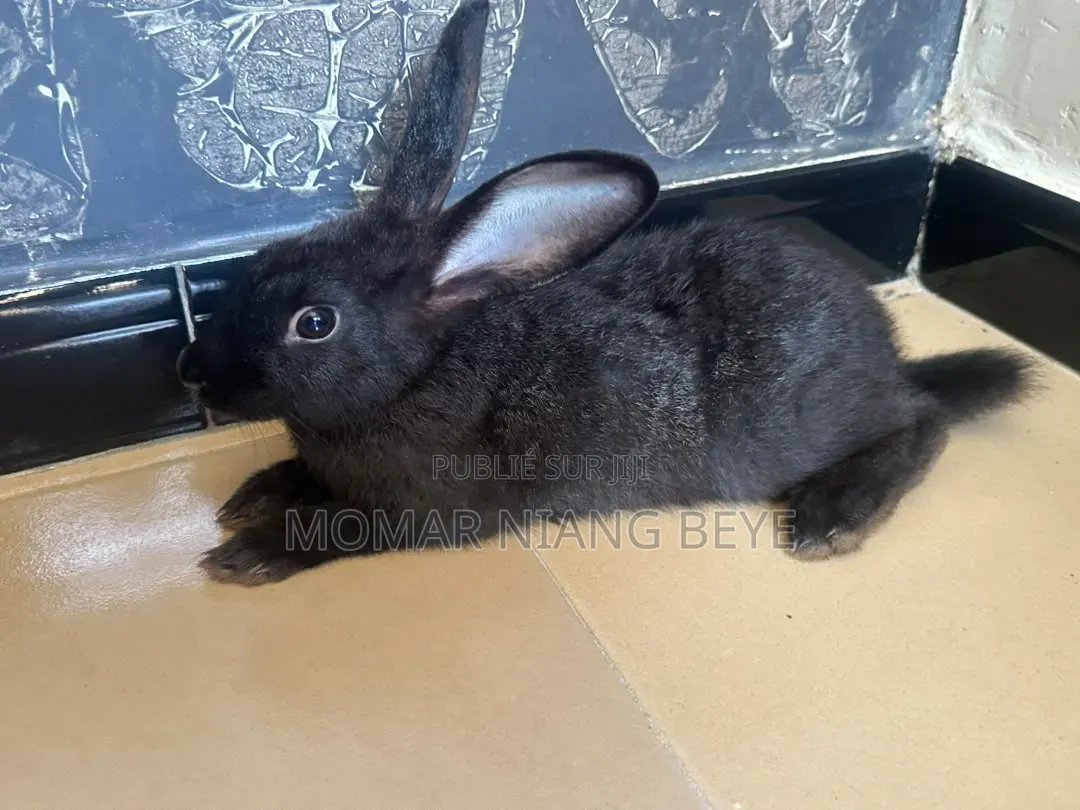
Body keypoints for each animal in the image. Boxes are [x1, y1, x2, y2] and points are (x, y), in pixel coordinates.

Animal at [176, 0, 1035, 586]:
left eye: (314, 322)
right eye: (265, 257)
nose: (192, 369)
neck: (420, 371)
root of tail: (886, 356)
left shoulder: (422, 509)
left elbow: (340, 528)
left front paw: (246, 552)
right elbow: (303, 479)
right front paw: (252, 493)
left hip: (811, 425)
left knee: (922, 422)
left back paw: (835, 516)